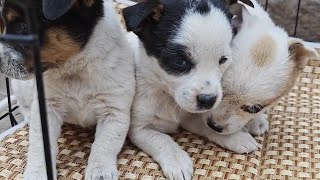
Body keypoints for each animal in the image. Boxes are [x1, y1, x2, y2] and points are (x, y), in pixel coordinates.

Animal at [0, 0, 135, 179]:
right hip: (20, 86)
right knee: (25, 107)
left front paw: (100, 171)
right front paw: (38, 172)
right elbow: (40, 144)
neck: (73, 70)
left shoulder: (114, 110)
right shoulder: (47, 109)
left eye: (23, 27)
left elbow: (105, 144)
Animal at [123, 0, 255, 179]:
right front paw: (177, 160)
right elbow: (161, 139)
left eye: (223, 60)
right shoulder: (138, 129)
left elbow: (207, 126)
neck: (168, 97)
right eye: (180, 61)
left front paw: (236, 137)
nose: (208, 100)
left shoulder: (190, 117)